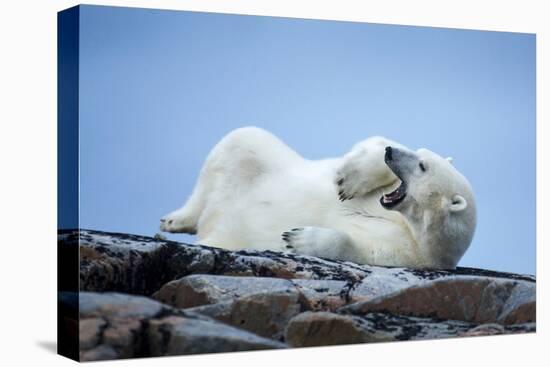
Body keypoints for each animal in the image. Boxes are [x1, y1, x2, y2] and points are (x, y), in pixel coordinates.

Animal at [161, 127, 478, 270]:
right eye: (420, 153)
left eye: (422, 166)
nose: (392, 154)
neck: (408, 225)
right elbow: (374, 141)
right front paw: (349, 180)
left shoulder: (409, 254)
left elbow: (359, 249)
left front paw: (296, 238)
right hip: (265, 161)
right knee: (241, 141)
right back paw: (175, 219)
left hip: (228, 233)